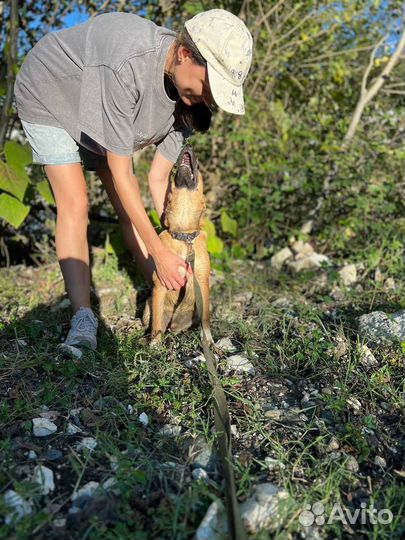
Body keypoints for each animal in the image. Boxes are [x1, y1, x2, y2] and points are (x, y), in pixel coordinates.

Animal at [141, 146, 211, 344]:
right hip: (147, 307)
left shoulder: (202, 282)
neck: (184, 237)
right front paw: (155, 345)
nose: (187, 145)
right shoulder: (160, 285)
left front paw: (209, 342)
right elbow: (157, 323)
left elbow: (206, 320)